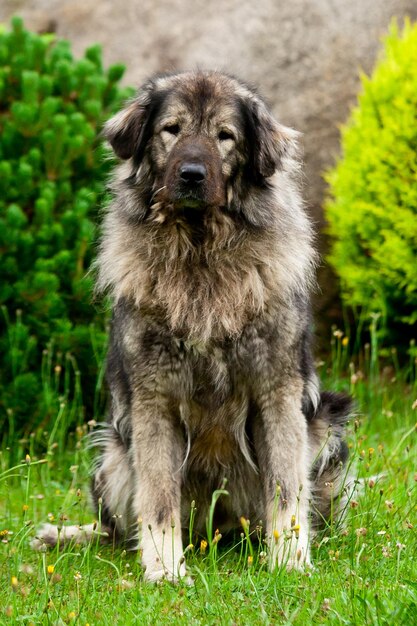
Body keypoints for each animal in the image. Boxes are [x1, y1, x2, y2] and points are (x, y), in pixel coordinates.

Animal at [33, 69, 352, 580]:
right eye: (172, 130)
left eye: (225, 136)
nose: (191, 175)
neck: (201, 254)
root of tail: (218, 533)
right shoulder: (154, 400)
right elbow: (158, 497)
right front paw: (165, 568)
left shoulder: (278, 392)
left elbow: (286, 489)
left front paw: (290, 563)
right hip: (112, 453)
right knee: (113, 529)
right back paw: (66, 536)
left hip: (326, 426)